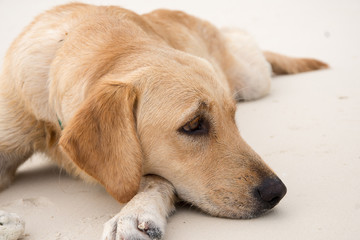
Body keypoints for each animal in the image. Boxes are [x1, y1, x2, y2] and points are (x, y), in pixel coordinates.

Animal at [0, 2, 328, 239]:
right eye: (193, 125)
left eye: (233, 117)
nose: (277, 191)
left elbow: (156, 179)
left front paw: (135, 214)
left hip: (252, 79)